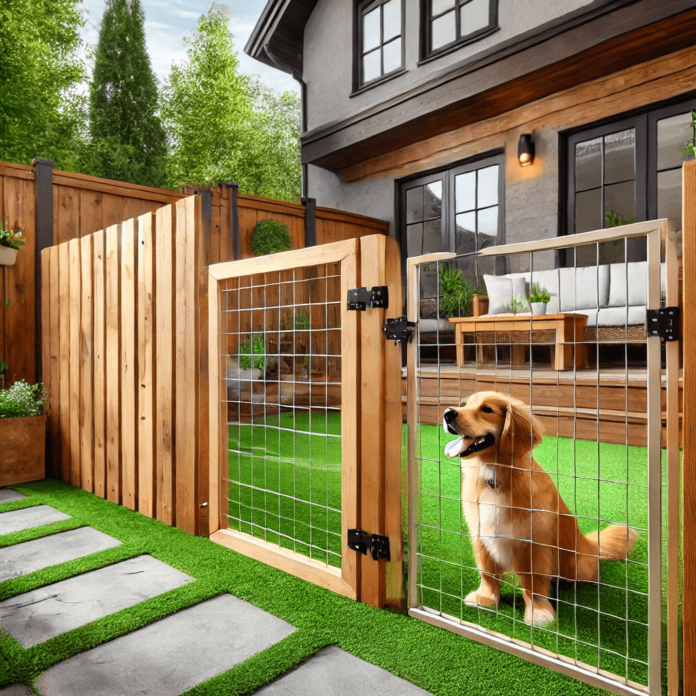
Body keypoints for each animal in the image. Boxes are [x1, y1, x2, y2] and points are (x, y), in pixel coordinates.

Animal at [444, 392, 640, 624]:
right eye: (465, 404)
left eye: (487, 409)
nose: (448, 413)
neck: (494, 476)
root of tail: (590, 544)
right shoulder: (481, 534)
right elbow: (487, 572)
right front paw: (486, 598)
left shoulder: (533, 542)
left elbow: (534, 582)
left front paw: (538, 612)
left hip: (576, 566)